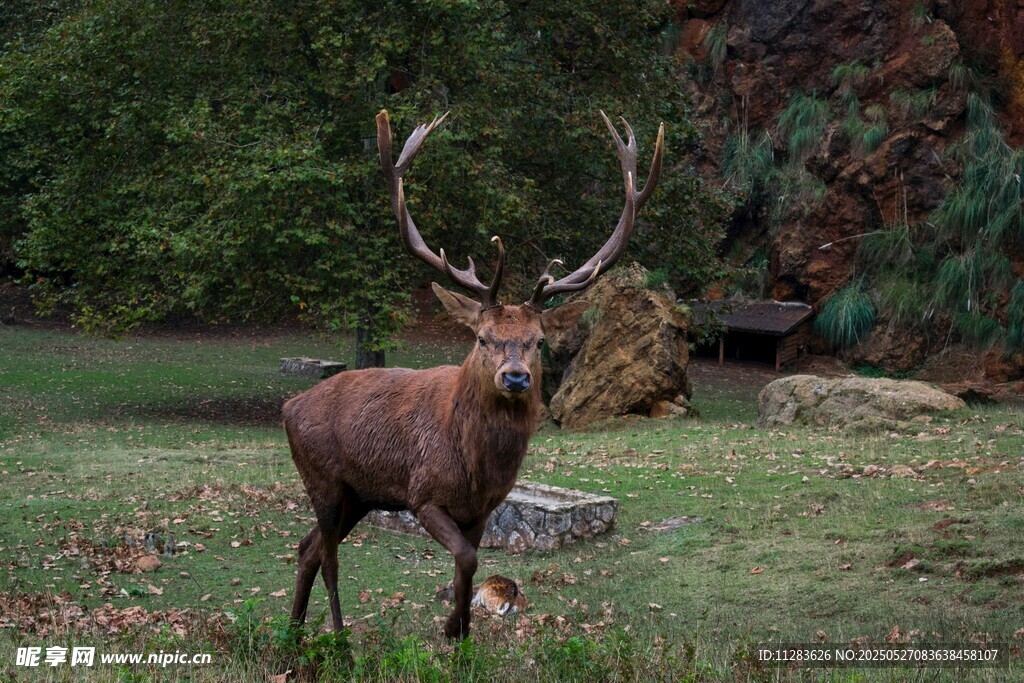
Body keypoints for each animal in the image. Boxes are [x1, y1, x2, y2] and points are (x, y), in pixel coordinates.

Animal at [282, 108, 663, 639]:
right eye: (483, 337)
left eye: (539, 341)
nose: (516, 378)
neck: (476, 466)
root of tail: (288, 406)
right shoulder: (423, 493)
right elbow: (465, 558)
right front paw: (451, 627)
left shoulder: (484, 507)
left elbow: (472, 562)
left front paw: (460, 629)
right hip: (323, 480)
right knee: (330, 554)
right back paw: (338, 636)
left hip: (359, 495)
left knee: (309, 547)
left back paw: (295, 632)